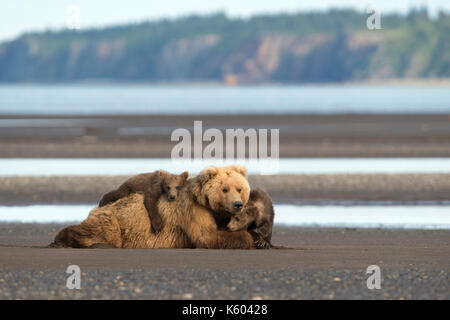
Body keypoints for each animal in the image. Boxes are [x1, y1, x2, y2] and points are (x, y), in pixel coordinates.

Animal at [51, 165, 256, 250]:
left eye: (239, 188)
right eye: (225, 189)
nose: (237, 204)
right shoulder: (192, 211)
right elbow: (206, 236)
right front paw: (250, 238)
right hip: (115, 218)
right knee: (101, 229)